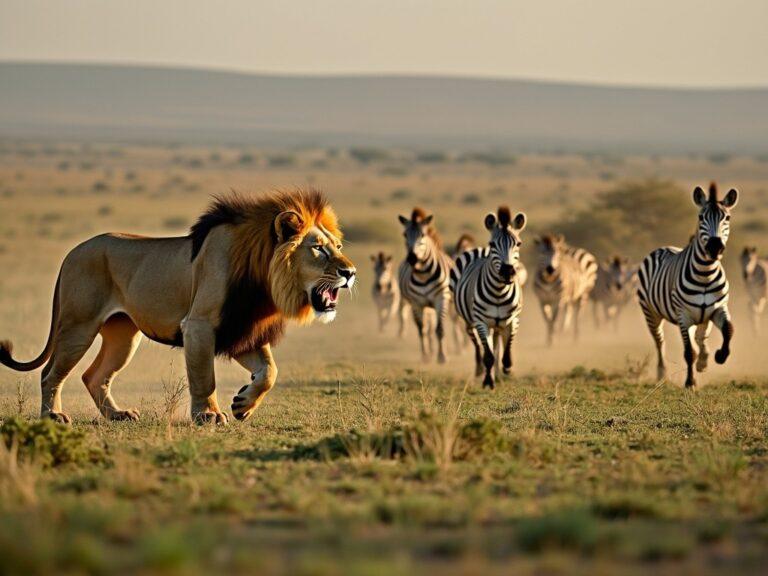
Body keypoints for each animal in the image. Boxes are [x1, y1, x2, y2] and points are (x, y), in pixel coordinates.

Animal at [0, 189, 354, 424]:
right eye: (319, 250)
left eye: (337, 246)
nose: (350, 272)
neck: (262, 281)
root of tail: (71, 252)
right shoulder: (199, 326)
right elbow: (204, 376)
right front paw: (209, 415)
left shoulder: (240, 328)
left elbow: (269, 371)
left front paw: (243, 404)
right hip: (79, 325)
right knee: (50, 373)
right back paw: (53, 416)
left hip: (123, 335)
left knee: (94, 375)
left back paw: (118, 414)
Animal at [396, 207, 456, 362]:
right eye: (404, 234)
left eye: (423, 235)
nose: (412, 258)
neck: (423, 275)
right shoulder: (416, 303)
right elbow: (421, 329)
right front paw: (425, 355)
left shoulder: (441, 299)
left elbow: (440, 329)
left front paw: (442, 357)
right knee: (428, 328)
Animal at [450, 205, 528, 390]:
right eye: (493, 244)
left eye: (518, 244)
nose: (507, 272)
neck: (499, 292)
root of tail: (479, 250)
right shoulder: (481, 322)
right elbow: (488, 356)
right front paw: (487, 381)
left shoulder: (513, 319)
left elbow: (505, 351)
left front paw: (506, 368)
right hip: (469, 321)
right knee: (477, 344)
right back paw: (481, 370)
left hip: (497, 325)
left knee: (496, 343)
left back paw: (498, 373)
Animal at [636, 182, 736, 390]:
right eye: (701, 217)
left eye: (727, 218)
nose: (715, 247)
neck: (705, 274)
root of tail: (663, 247)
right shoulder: (683, 315)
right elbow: (689, 352)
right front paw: (690, 382)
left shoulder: (718, 308)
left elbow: (729, 330)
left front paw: (719, 356)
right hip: (651, 313)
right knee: (660, 341)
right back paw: (662, 373)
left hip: (702, 315)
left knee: (700, 336)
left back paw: (703, 361)